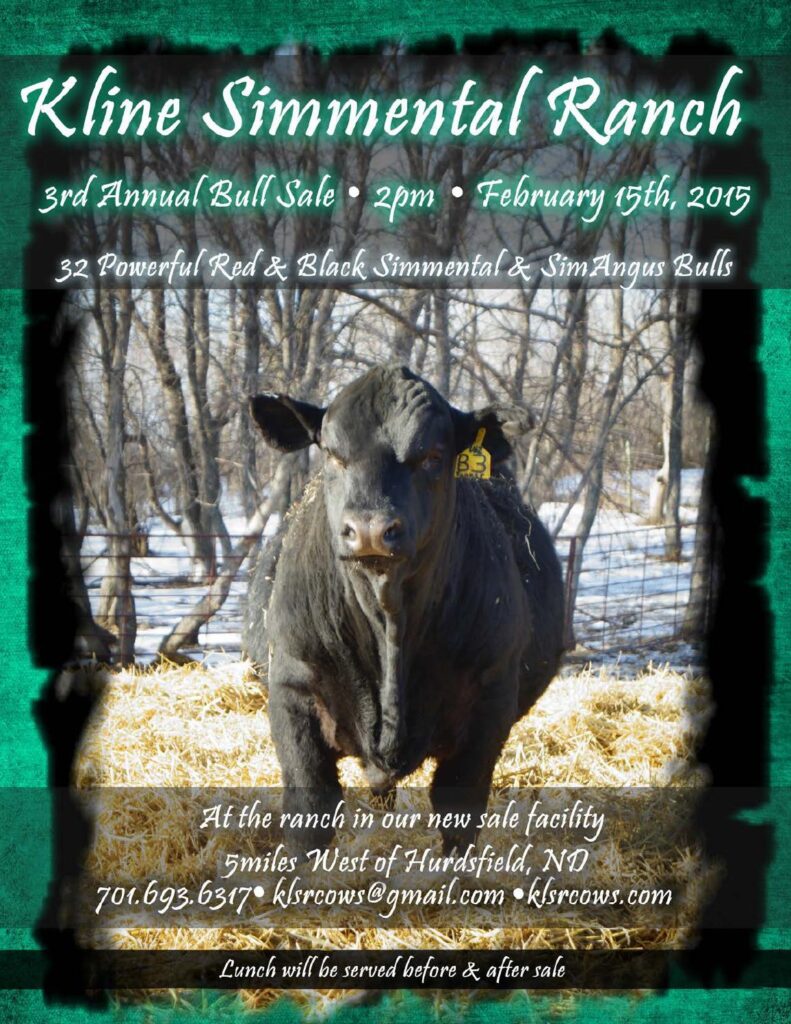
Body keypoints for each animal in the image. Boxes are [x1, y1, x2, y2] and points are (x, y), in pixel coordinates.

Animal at [245, 365, 564, 856]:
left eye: (432, 456)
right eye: (332, 454)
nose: (370, 529)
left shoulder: (490, 699)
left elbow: (458, 805)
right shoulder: (293, 687)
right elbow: (311, 803)